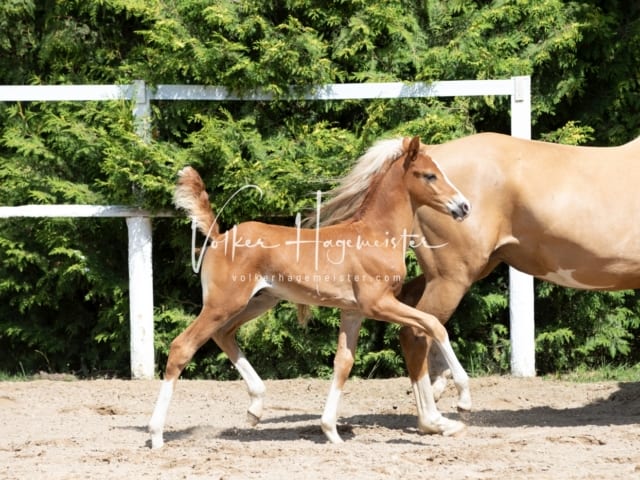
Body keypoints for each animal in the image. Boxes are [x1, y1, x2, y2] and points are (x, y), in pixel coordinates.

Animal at [149, 134, 470, 446]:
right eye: (429, 175)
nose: (464, 206)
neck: (375, 236)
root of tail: (219, 237)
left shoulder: (353, 312)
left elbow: (343, 363)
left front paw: (330, 431)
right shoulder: (378, 304)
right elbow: (433, 325)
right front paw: (464, 398)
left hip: (258, 302)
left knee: (223, 335)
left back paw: (255, 408)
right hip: (223, 304)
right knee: (182, 347)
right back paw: (156, 435)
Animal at [322, 131, 640, 436]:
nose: (462, 207)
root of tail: (433, 150)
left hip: (449, 275)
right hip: (453, 277)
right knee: (416, 333)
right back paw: (436, 418)